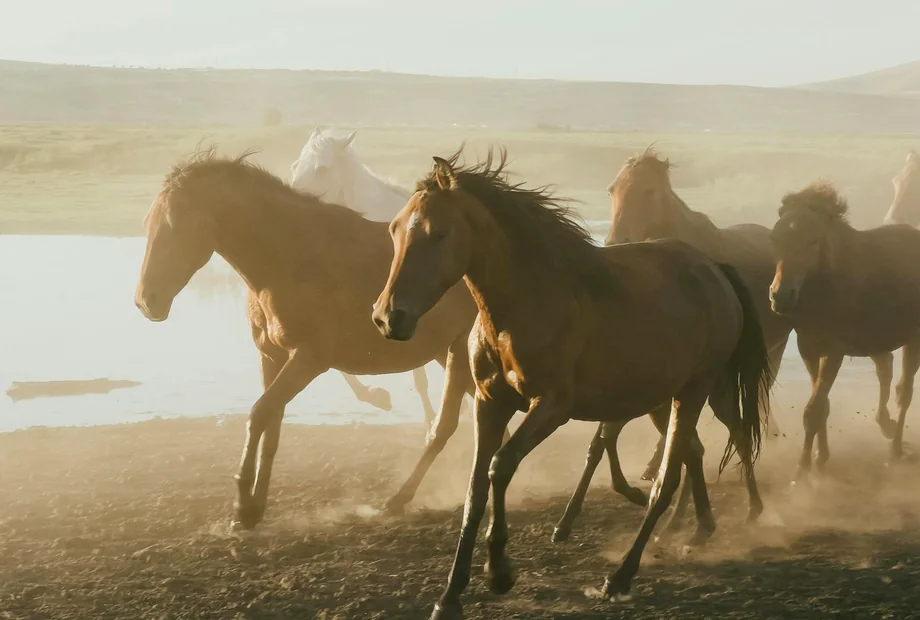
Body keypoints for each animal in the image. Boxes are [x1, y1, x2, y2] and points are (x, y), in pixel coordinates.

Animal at [372, 148, 770, 619]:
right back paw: (701, 528)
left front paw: (500, 571)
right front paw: (450, 596)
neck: (525, 303)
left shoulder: (551, 406)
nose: (388, 317)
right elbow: (475, 488)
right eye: (395, 229)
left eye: (439, 233)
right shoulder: (489, 402)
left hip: (696, 391)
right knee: (692, 452)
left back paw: (623, 575)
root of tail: (715, 270)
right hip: (662, 398)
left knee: (674, 474)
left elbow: (500, 466)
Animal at [769, 182, 920, 478]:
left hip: (914, 339)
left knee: (904, 391)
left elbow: (814, 409)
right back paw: (886, 427)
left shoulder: (834, 351)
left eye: (813, 240)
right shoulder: (808, 348)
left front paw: (802, 472)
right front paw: (820, 457)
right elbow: (822, 405)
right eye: (775, 238)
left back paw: (896, 449)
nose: (780, 297)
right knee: (886, 371)